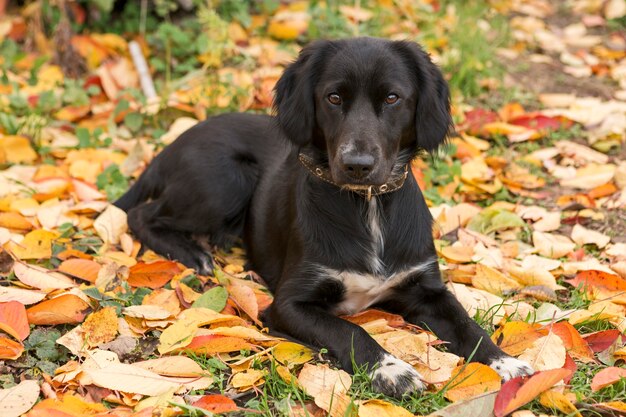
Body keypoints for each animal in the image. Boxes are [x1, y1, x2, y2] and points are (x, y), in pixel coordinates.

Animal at [114, 37, 528, 394]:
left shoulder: (426, 288)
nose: (357, 165)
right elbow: (351, 331)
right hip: (224, 179)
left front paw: (505, 362)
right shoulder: (288, 304)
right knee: (141, 214)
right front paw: (391, 370)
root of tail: (170, 147)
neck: (367, 205)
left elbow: (467, 324)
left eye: (393, 98)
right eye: (334, 97)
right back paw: (192, 253)